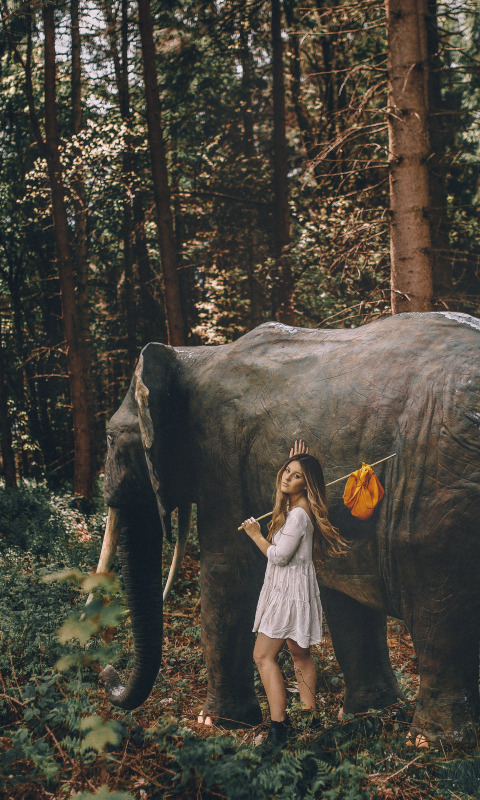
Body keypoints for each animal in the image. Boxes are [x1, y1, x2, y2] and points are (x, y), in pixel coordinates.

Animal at [97, 311, 480, 744]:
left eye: (109, 438)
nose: (106, 672)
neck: (197, 356)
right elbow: (343, 593)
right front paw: (368, 713)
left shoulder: (220, 454)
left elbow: (227, 575)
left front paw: (216, 723)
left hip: (441, 495)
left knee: (438, 606)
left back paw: (434, 742)